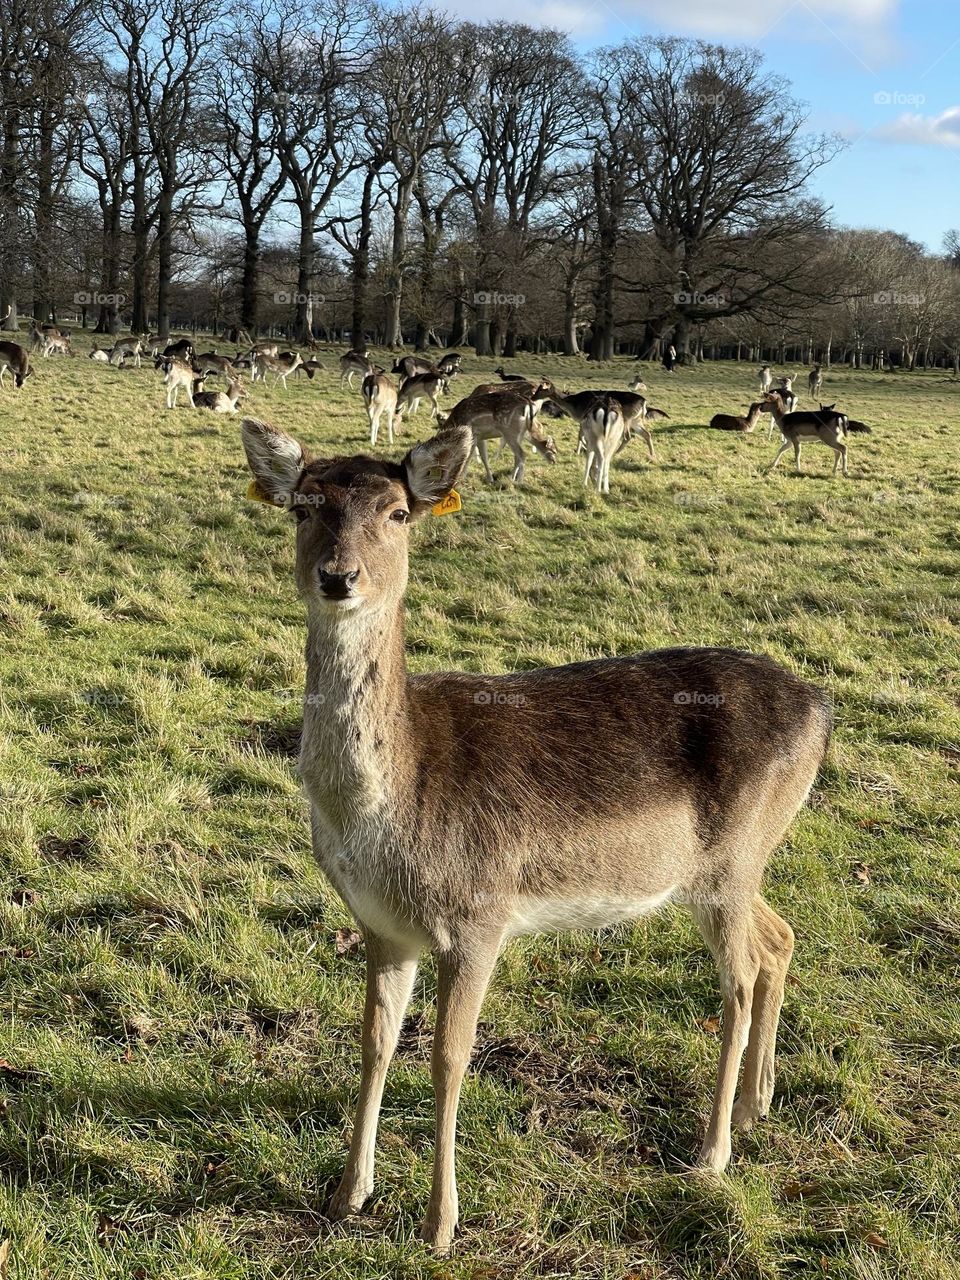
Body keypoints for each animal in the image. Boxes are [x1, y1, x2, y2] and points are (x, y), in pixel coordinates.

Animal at [240, 417, 834, 1249]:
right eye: (301, 507)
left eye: (399, 512)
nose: (338, 576)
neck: (388, 815)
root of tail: (823, 708)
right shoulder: (383, 925)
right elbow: (372, 1042)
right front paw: (345, 1194)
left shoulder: (480, 914)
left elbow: (450, 1057)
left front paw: (439, 1224)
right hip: (731, 869)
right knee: (781, 939)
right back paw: (756, 1107)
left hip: (731, 862)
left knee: (741, 978)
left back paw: (711, 1152)